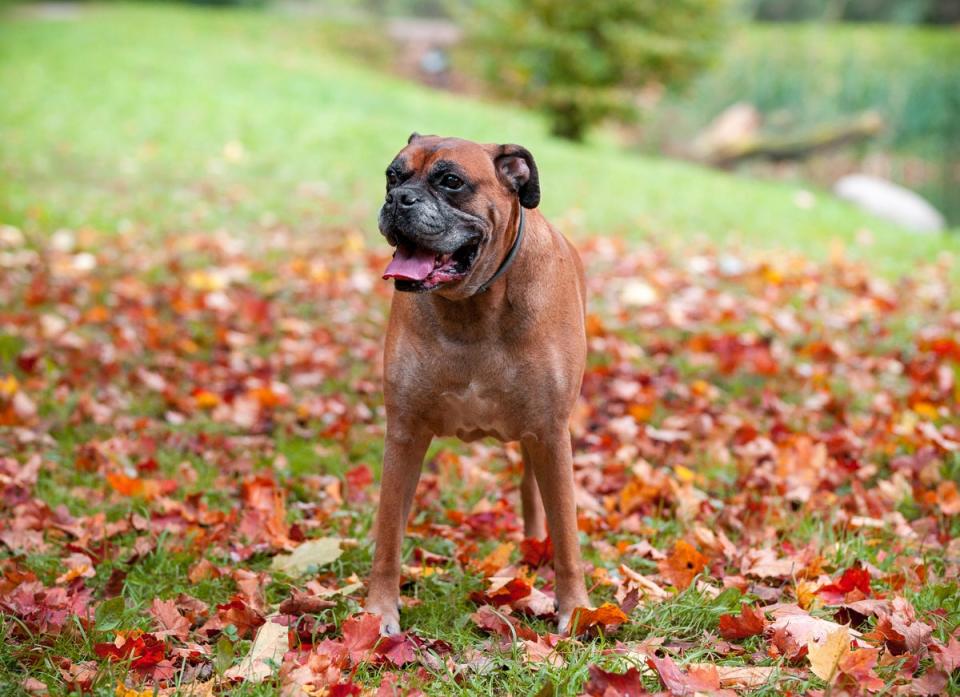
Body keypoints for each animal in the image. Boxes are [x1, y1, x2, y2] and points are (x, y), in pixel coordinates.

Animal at [366, 133, 588, 632]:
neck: (474, 308)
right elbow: (389, 531)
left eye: (451, 181)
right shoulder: (404, 433)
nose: (398, 199)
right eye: (392, 175)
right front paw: (378, 611)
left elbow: (567, 535)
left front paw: (577, 610)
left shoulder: (550, 433)